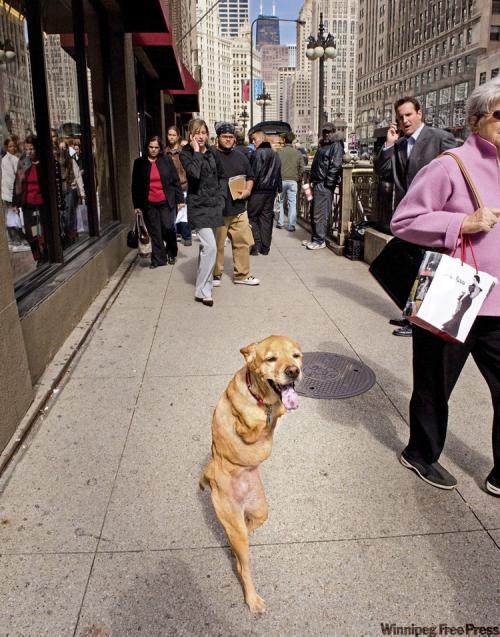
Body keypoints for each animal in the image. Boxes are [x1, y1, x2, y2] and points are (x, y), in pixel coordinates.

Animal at [198, 332, 300, 612]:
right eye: (271, 358)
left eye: (296, 356)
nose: (294, 371)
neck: (261, 399)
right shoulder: (247, 425)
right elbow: (251, 426)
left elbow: (274, 419)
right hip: (232, 519)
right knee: (244, 565)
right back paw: (252, 598)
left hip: (260, 509)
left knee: (246, 532)